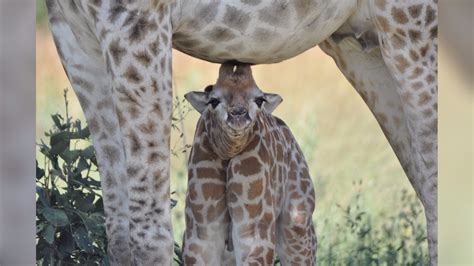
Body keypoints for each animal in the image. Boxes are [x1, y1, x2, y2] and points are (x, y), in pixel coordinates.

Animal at [184, 61, 314, 264]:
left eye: (259, 99)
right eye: (214, 100)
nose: (238, 114)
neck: (228, 153)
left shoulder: (254, 232)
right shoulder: (201, 236)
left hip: (297, 225)